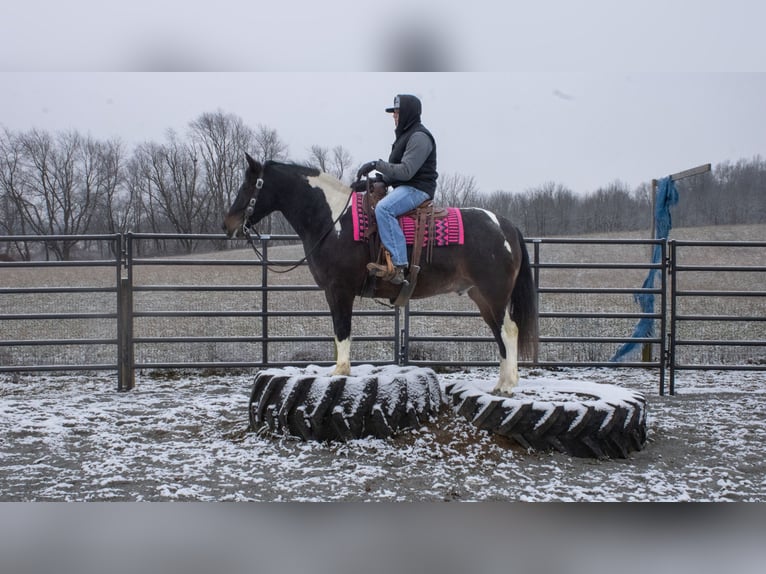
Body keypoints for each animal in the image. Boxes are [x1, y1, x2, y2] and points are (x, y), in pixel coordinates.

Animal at [222, 153, 540, 396]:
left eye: (249, 185)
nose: (228, 224)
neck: (333, 220)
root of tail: (505, 225)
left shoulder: (339, 290)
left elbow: (342, 331)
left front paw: (340, 371)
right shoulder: (333, 293)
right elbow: (338, 331)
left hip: (494, 294)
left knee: (509, 331)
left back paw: (508, 385)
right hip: (481, 297)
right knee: (500, 334)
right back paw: (500, 383)